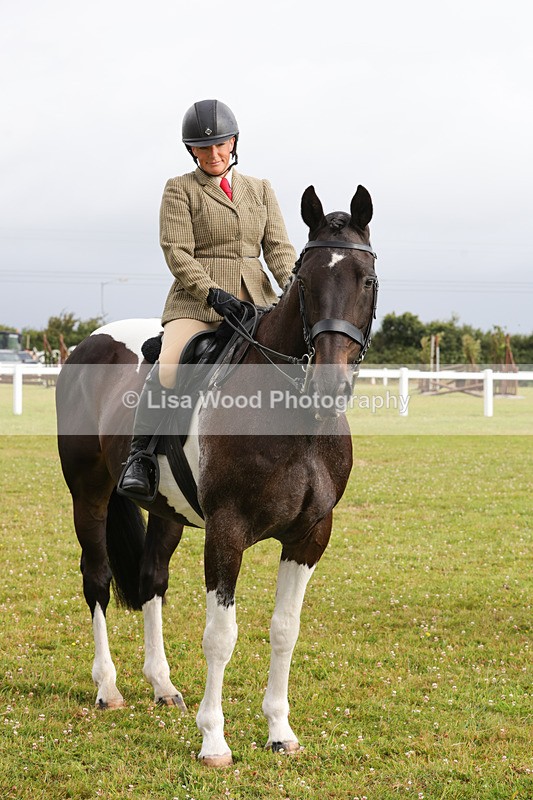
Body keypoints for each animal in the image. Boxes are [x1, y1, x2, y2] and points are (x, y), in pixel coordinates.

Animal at [56, 184, 378, 767]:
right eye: (305, 281)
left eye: (365, 279)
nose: (329, 384)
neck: (293, 417)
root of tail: (92, 341)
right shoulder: (227, 532)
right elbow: (221, 635)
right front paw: (213, 741)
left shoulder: (310, 534)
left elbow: (285, 630)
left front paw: (280, 732)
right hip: (88, 495)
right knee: (96, 578)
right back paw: (108, 689)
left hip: (167, 511)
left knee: (150, 580)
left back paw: (163, 687)